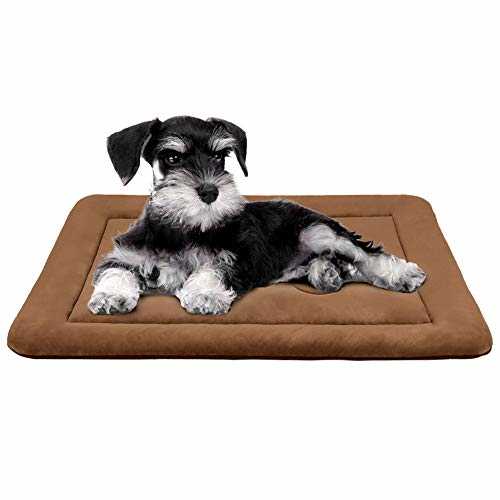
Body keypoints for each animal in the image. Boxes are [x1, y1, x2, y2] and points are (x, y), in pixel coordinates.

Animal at [88, 116, 426, 315]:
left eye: (219, 156)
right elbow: (115, 272)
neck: (184, 228)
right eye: (171, 157)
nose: (210, 192)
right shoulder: (125, 255)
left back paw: (402, 274)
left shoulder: (234, 259)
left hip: (317, 231)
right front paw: (110, 297)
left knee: (366, 255)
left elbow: (210, 271)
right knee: (339, 264)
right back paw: (327, 273)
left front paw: (205, 295)